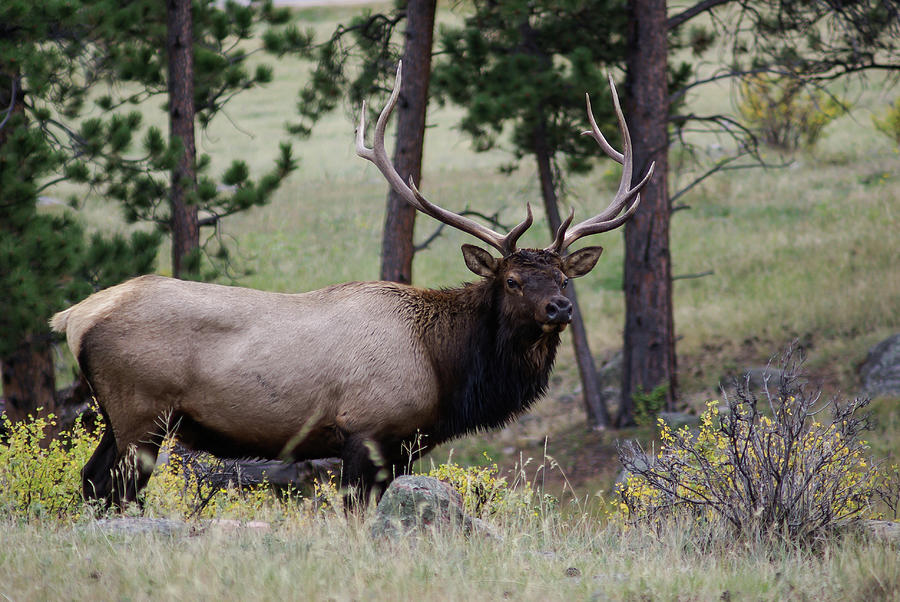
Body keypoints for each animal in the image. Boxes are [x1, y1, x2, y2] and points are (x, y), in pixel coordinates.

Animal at [51, 64, 652, 506]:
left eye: (562, 276)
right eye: (512, 279)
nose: (558, 309)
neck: (445, 370)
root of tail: (72, 316)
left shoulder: (404, 448)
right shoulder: (366, 432)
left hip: (119, 418)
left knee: (90, 482)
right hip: (140, 412)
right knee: (112, 489)